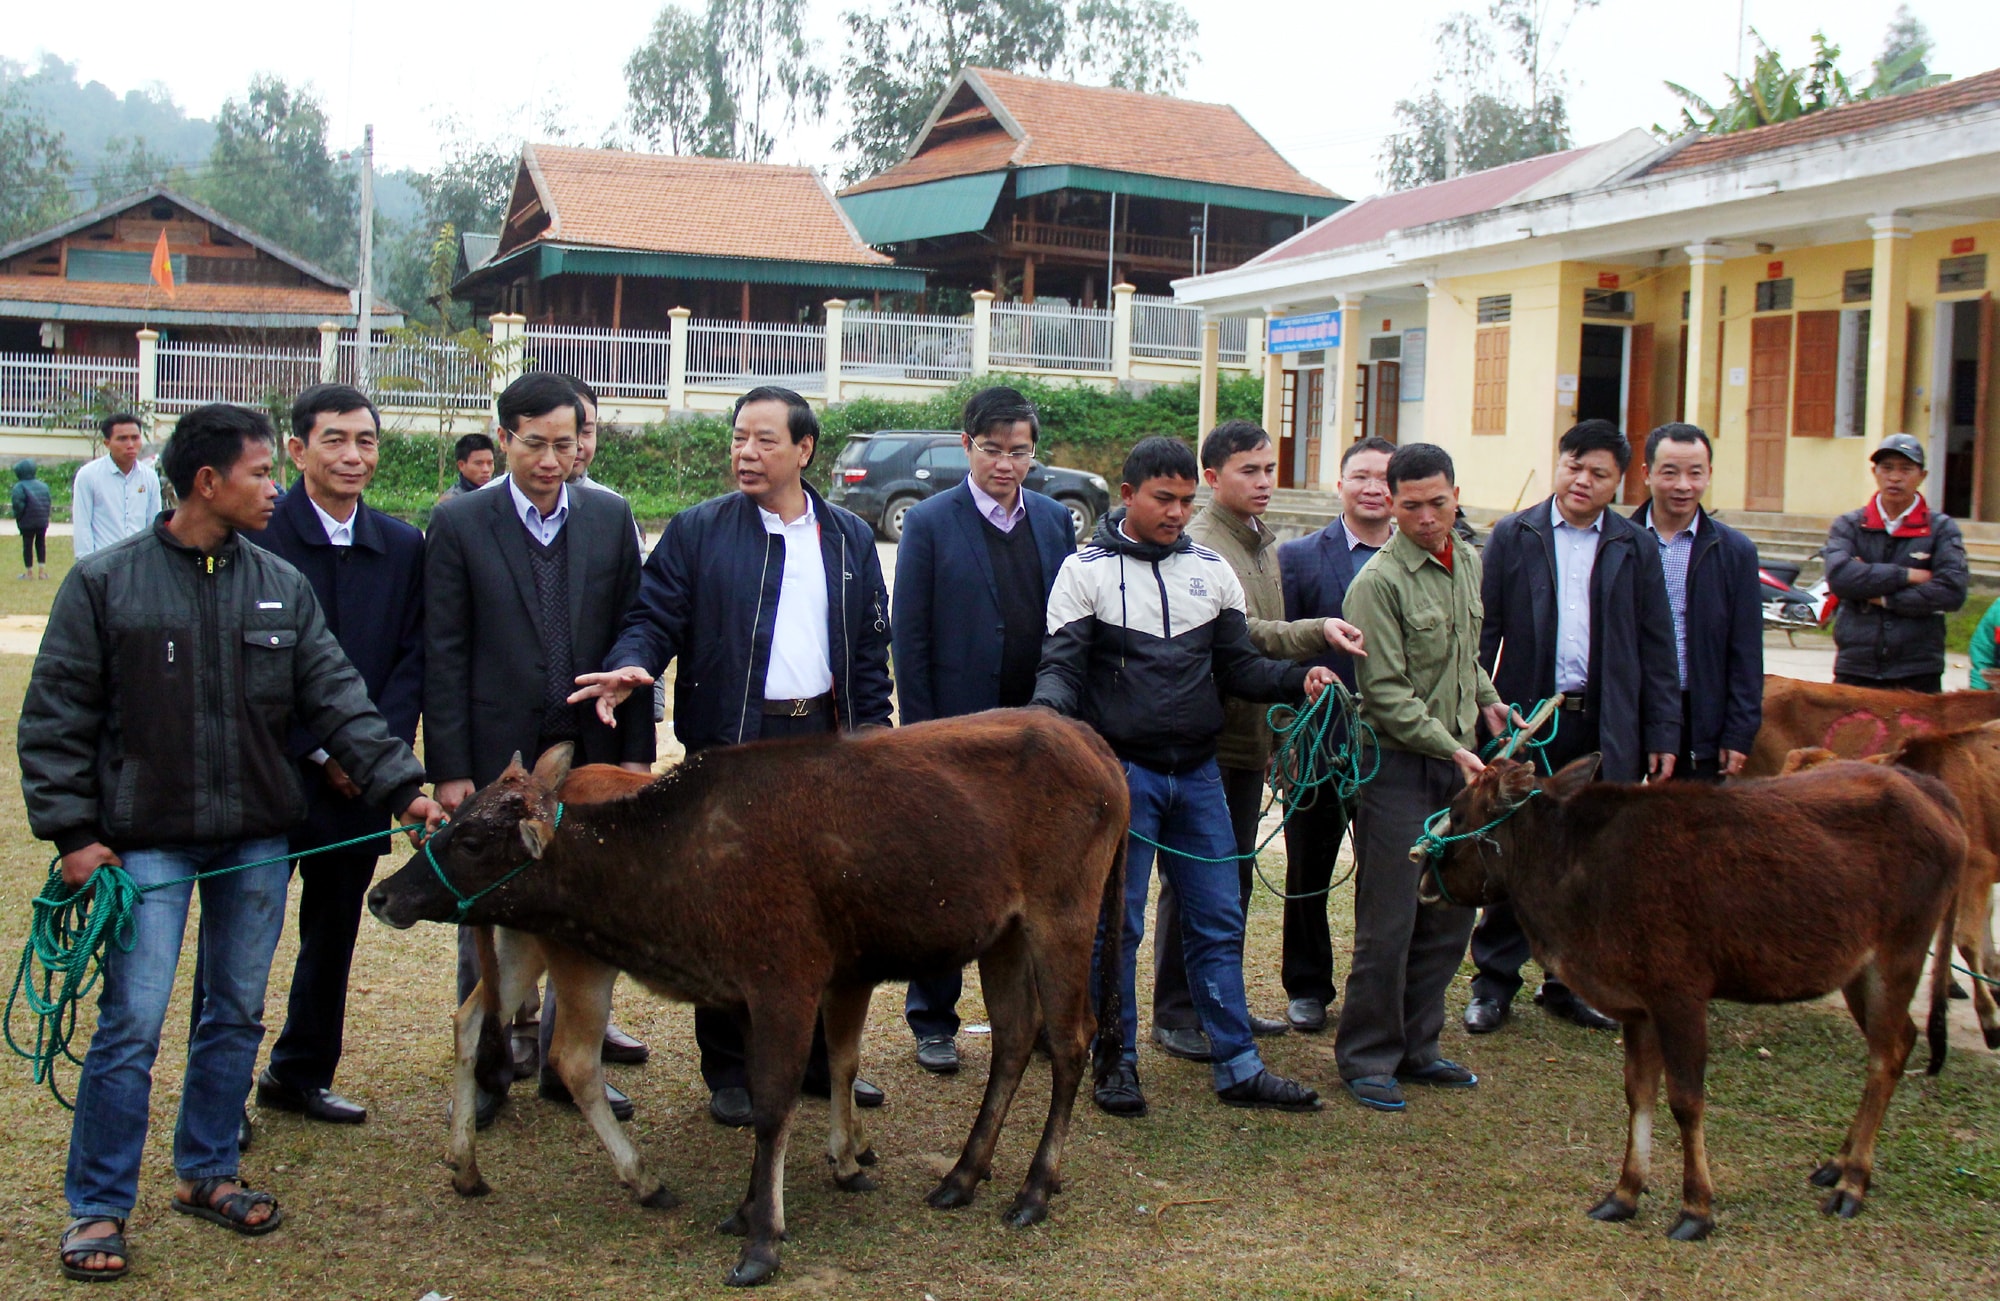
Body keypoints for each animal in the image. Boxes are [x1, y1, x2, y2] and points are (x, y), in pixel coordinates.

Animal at [372, 708, 1128, 1288]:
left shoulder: (788, 977)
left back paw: (1034, 1189)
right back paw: (963, 1176)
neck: (672, 877)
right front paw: (752, 1206)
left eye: (471, 837)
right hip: (1003, 933)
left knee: (1069, 1040)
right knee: (1014, 1037)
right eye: (454, 817)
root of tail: (1100, 750)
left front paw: (762, 1240)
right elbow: (786, 1094)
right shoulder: (759, 991)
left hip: (1063, 912)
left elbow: (775, 1107)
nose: (382, 895)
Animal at [1424, 756, 1952, 1240]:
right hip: (1857, 969)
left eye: (1459, 812)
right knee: (1904, 1038)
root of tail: (1934, 792)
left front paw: (1696, 1208)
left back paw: (1853, 1183)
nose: (1425, 883)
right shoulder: (1637, 1006)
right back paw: (1837, 1164)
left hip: (1901, 950)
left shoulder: (1679, 991)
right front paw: (1624, 1193)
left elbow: (1686, 1100)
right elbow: (1638, 1094)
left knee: (1886, 1054)